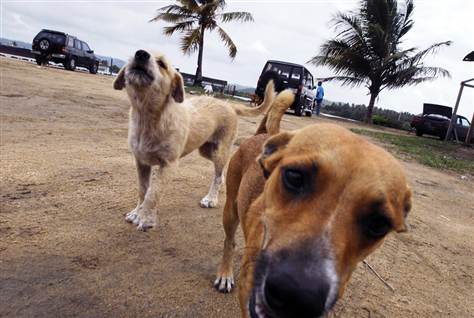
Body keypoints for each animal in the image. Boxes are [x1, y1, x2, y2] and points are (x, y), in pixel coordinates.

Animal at [114, 48, 274, 230]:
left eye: (162, 64)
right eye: (134, 55)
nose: (141, 54)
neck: (149, 118)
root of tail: (229, 105)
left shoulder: (168, 165)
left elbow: (153, 193)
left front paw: (145, 218)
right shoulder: (141, 162)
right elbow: (143, 190)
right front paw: (137, 212)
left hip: (219, 151)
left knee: (217, 175)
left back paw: (211, 199)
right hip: (206, 150)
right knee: (220, 173)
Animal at [215, 108, 412, 316]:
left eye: (379, 224)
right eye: (294, 176)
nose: (298, 296)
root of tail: (262, 134)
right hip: (230, 210)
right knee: (229, 241)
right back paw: (225, 273)